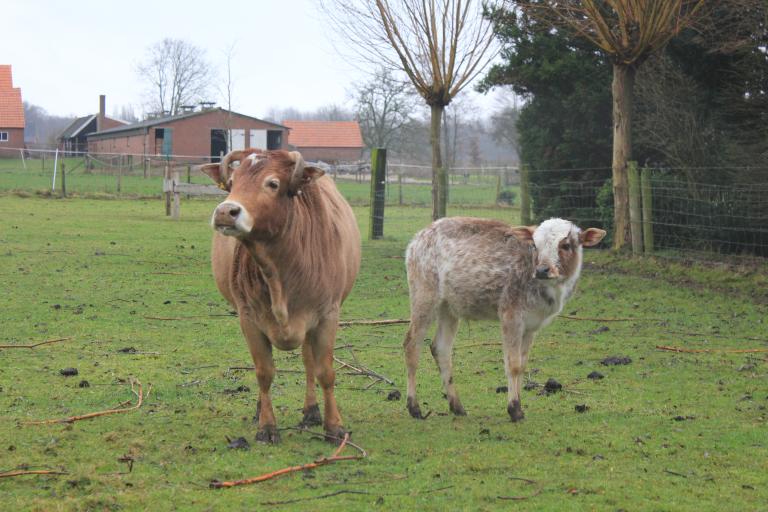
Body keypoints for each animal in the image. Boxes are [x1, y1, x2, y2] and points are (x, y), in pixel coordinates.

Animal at [198, 149, 360, 444]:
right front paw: (267, 426)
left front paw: (334, 426)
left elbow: (325, 372)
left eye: (272, 183)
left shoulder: (327, 316)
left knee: (308, 362)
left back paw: (311, 411)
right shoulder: (248, 319)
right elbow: (264, 372)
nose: (226, 211)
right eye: (233, 182)